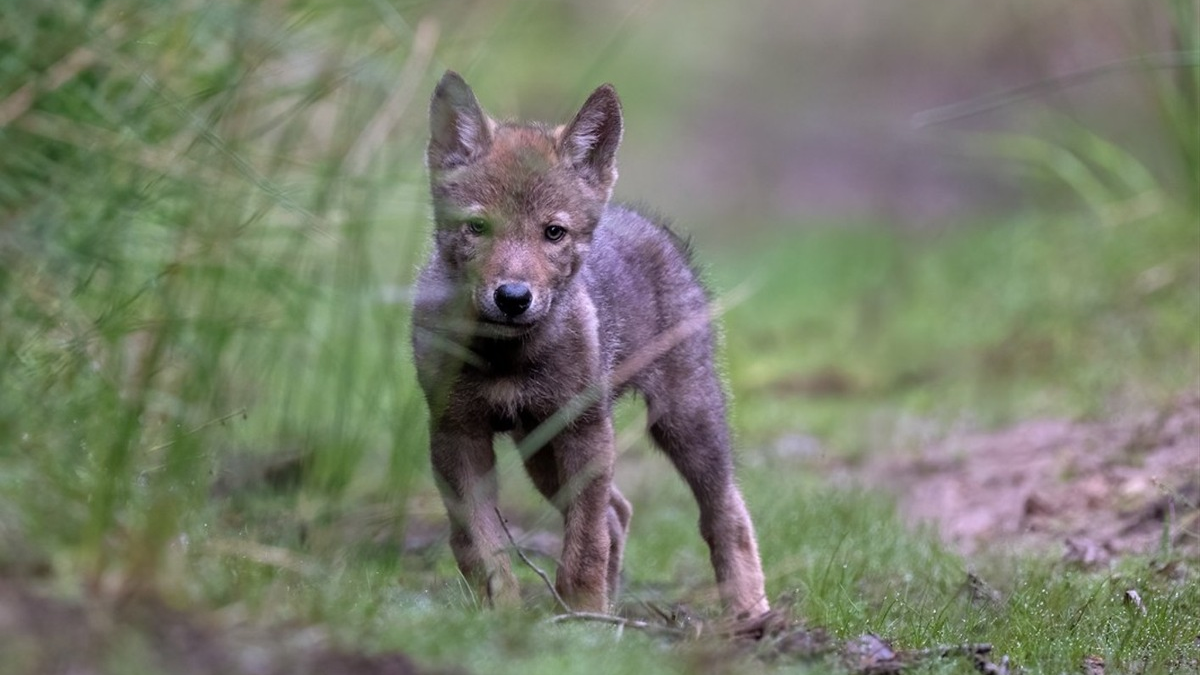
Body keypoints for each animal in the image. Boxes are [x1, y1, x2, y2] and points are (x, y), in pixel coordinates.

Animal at [411, 70, 769, 618]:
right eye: (478, 228)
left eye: (553, 232)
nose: (513, 297)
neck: (506, 355)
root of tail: (649, 224)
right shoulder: (456, 434)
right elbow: (480, 544)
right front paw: (501, 615)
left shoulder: (584, 430)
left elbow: (584, 544)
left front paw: (582, 611)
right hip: (540, 450)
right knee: (619, 511)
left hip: (684, 420)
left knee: (724, 511)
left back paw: (748, 611)